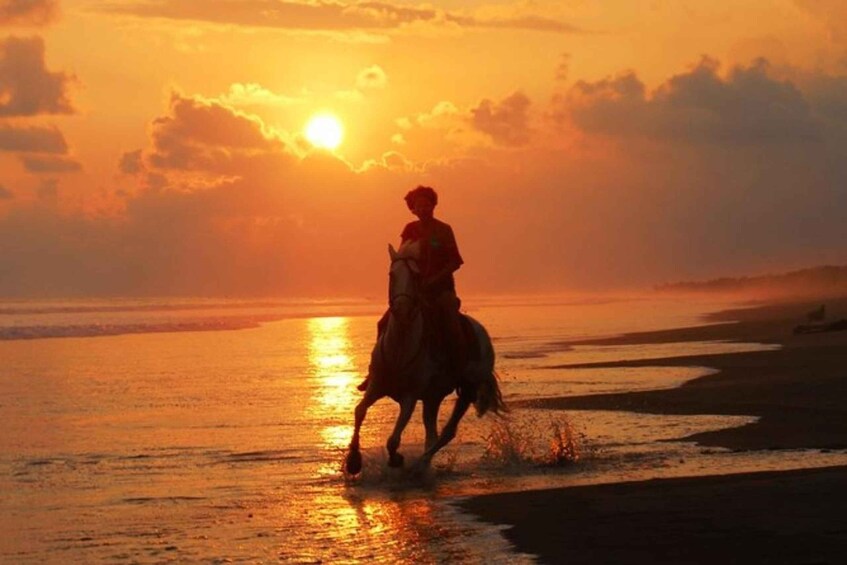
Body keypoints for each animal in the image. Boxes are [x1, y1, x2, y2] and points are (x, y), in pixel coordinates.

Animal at [346, 242, 506, 476]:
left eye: (416, 275)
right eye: (391, 274)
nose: (401, 310)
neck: (400, 347)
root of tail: (482, 334)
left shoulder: (410, 397)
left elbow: (393, 440)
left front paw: (396, 459)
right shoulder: (376, 386)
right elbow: (359, 411)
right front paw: (353, 461)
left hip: (467, 390)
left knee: (447, 432)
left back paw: (418, 465)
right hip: (433, 396)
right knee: (432, 433)